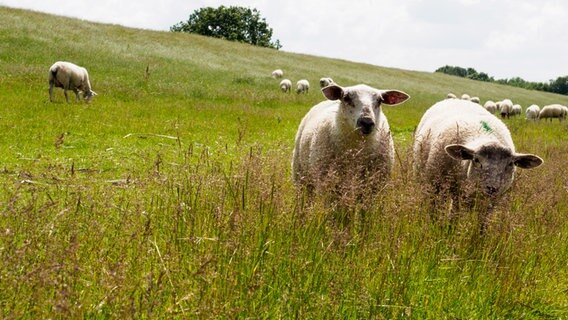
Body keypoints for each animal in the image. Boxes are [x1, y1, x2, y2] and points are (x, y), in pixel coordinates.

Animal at [414, 99, 544, 228]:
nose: (492, 188)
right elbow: (445, 214)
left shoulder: (490, 202)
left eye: (510, 164)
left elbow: (483, 223)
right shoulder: (438, 187)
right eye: (476, 160)